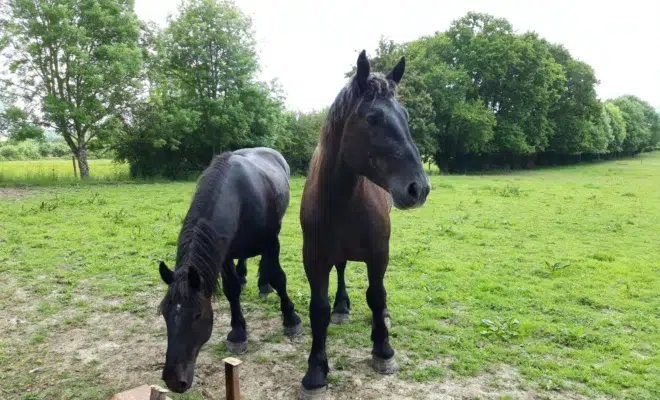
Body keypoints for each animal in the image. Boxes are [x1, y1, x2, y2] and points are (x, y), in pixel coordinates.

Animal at [157, 147, 302, 394]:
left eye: (197, 315)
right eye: (165, 313)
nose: (174, 381)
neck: (238, 196)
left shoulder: (272, 243)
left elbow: (279, 278)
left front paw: (291, 318)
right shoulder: (222, 253)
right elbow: (231, 289)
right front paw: (238, 332)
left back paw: (264, 285)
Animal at [296, 50, 430, 396]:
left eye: (405, 115)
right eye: (372, 118)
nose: (419, 188)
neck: (341, 202)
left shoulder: (379, 253)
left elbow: (377, 294)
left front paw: (383, 350)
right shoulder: (314, 258)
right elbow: (318, 309)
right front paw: (315, 371)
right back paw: (341, 307)